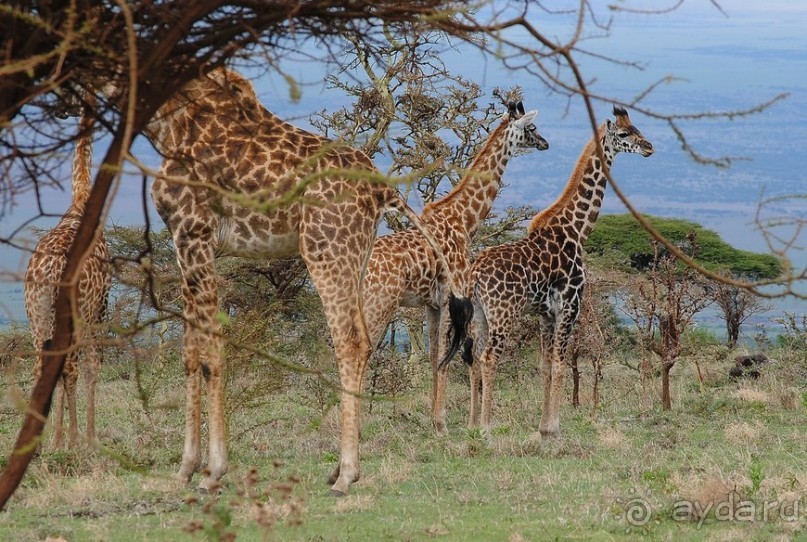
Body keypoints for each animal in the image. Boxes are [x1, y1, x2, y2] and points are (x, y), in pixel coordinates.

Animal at [364, 101, 548, 434]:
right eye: (531, 127)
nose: (545, 143)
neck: (463, 220)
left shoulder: (433, 304)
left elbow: (434, 355)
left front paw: (434, 419)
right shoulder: (456, 296)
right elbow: (451, 357)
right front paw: (443, 424)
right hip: (381, 303)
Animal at [448, 106, 656, 438]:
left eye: (637, 128)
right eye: (624, 134)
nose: (649, 147)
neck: (576, 230)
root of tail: (474, 274)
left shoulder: (545, 314)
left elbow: (545, 366)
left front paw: (543, 426)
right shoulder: (569, 306)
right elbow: (560, 364)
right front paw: (555, 428)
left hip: (479, 315)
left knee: (473, 357)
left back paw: (471, 425)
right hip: (503, 314)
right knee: (489, 357)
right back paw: (486, 428)